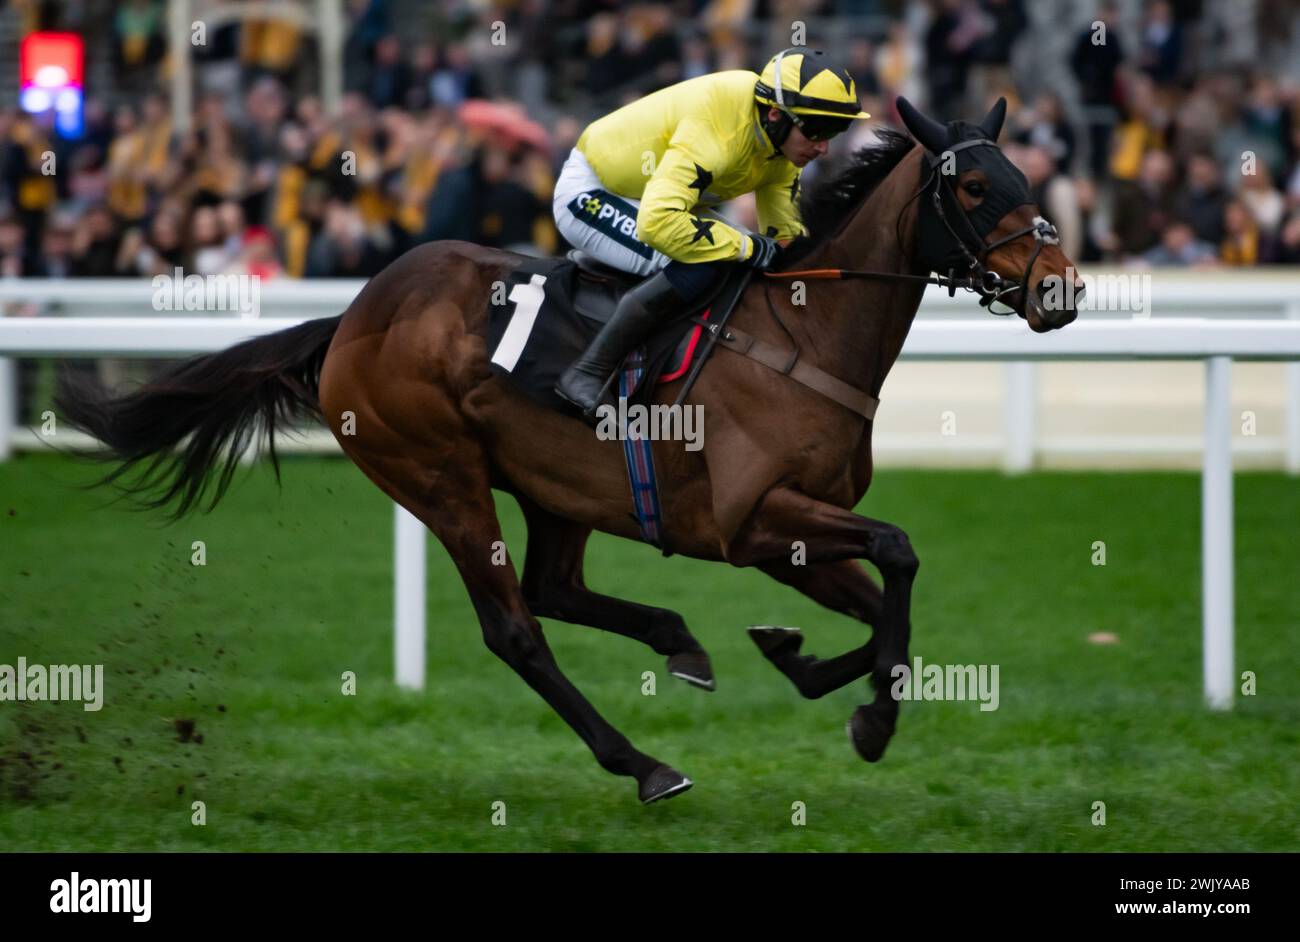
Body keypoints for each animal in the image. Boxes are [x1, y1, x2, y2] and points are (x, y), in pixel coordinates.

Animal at [55, 95, 1081, 800]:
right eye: (975, 185)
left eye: (1029, 177)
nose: (1060, 290)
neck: (804, 334)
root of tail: (352, 320)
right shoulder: (753, 521)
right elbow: (898, 555)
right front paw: (870, 716)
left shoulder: (789, 534)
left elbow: (877, 608)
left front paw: (796, 656)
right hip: (442, 479)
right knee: (517, 628)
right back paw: (643, 762)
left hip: (556, 485)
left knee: (555, 589)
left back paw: (679, 642)